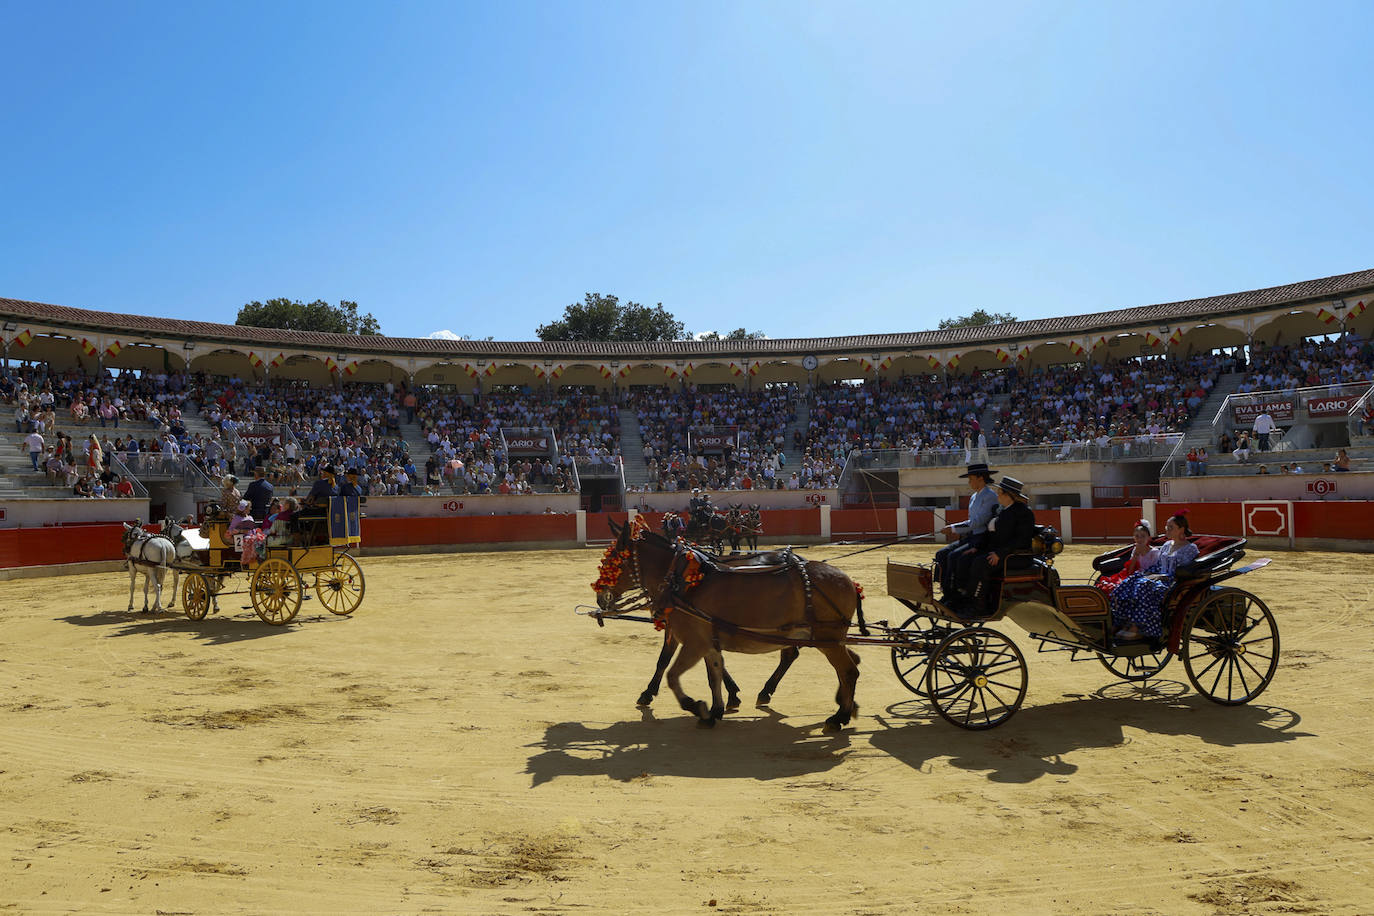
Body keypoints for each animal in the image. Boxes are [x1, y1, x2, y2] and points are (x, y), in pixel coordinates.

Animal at [596, 519, 862, 725]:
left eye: (613, 560)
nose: (600, 598)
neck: (682, 577)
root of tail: (848, 580)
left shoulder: (692, 639)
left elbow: (669, 668)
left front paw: (687, 703)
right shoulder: (704, 639)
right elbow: (711, 671)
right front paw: (718, 707)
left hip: (826, 638)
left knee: (846, 669)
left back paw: (837, 716)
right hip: (819, 637)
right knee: (845, 663)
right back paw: (843, 704)